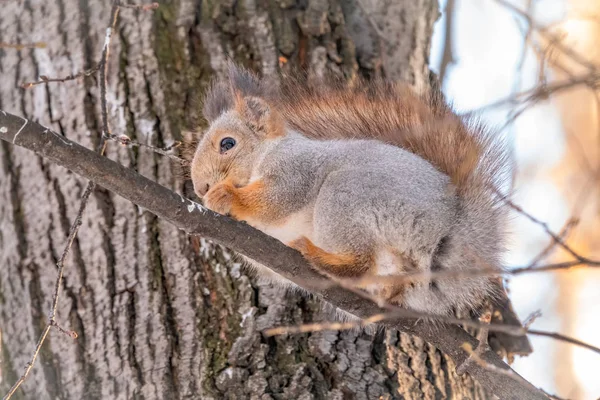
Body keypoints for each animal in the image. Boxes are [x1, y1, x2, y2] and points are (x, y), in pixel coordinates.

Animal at [189, 63, 510, 318]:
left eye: (227, 143)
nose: (200, 187)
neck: (266, 153)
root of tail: (449, 231)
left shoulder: (297, 168)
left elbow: (279, 198)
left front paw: (225, 195)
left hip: (347, 194)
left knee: (361, 262)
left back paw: (321, 258)